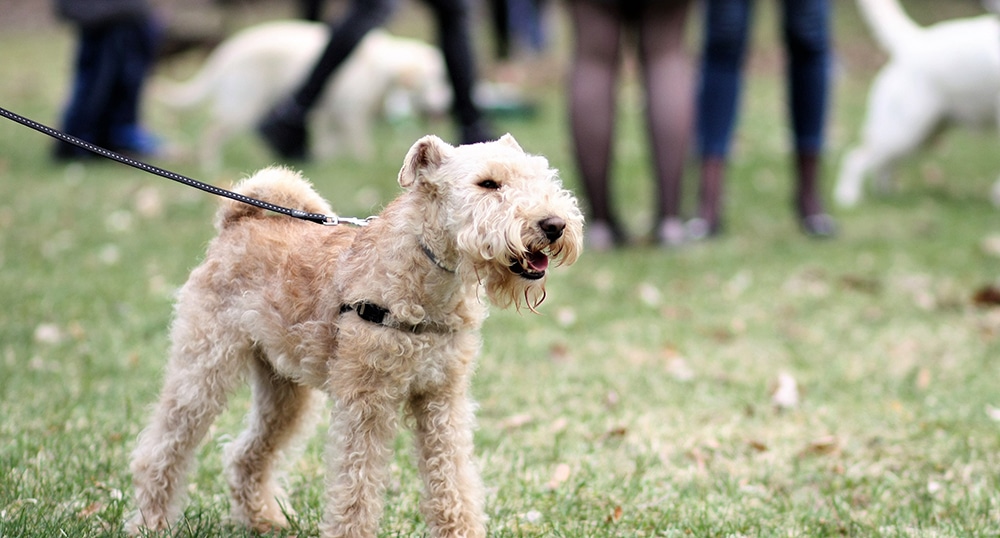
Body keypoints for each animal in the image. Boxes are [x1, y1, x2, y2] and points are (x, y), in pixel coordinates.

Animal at [126, 132, 584, 532]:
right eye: (488, 183)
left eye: (541, 176)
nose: (554, 225)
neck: (423, 278)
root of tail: (238, 221)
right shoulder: (367, 405)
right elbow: (356, 490)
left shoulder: (441, 399)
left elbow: (452, 483)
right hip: (203, 369)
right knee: (161, 451)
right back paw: (150, 523)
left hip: (285, 392)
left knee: (245, 455)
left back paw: (264, 520)